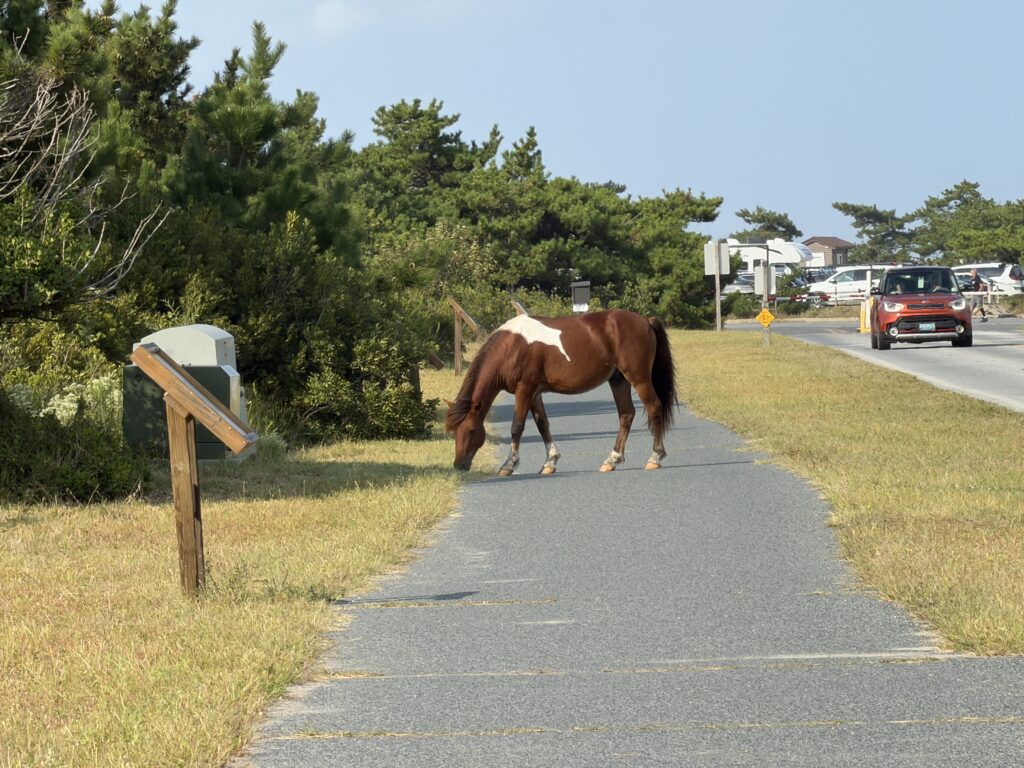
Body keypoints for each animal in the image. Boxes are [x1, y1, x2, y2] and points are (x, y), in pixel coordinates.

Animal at [445, 309, 676, 475]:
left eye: (471, 430)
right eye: (454, 431)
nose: (459, 464)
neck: (511, 347)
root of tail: (645, 320)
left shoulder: (524, 389)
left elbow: (517, 427)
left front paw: (509, 465)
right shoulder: (534, 393)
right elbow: (543, 425)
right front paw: (550, 462)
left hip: (639, 378)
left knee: (654, 408)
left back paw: (655, 458)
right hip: (618, 380)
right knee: (626, 414)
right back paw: (612, 460)